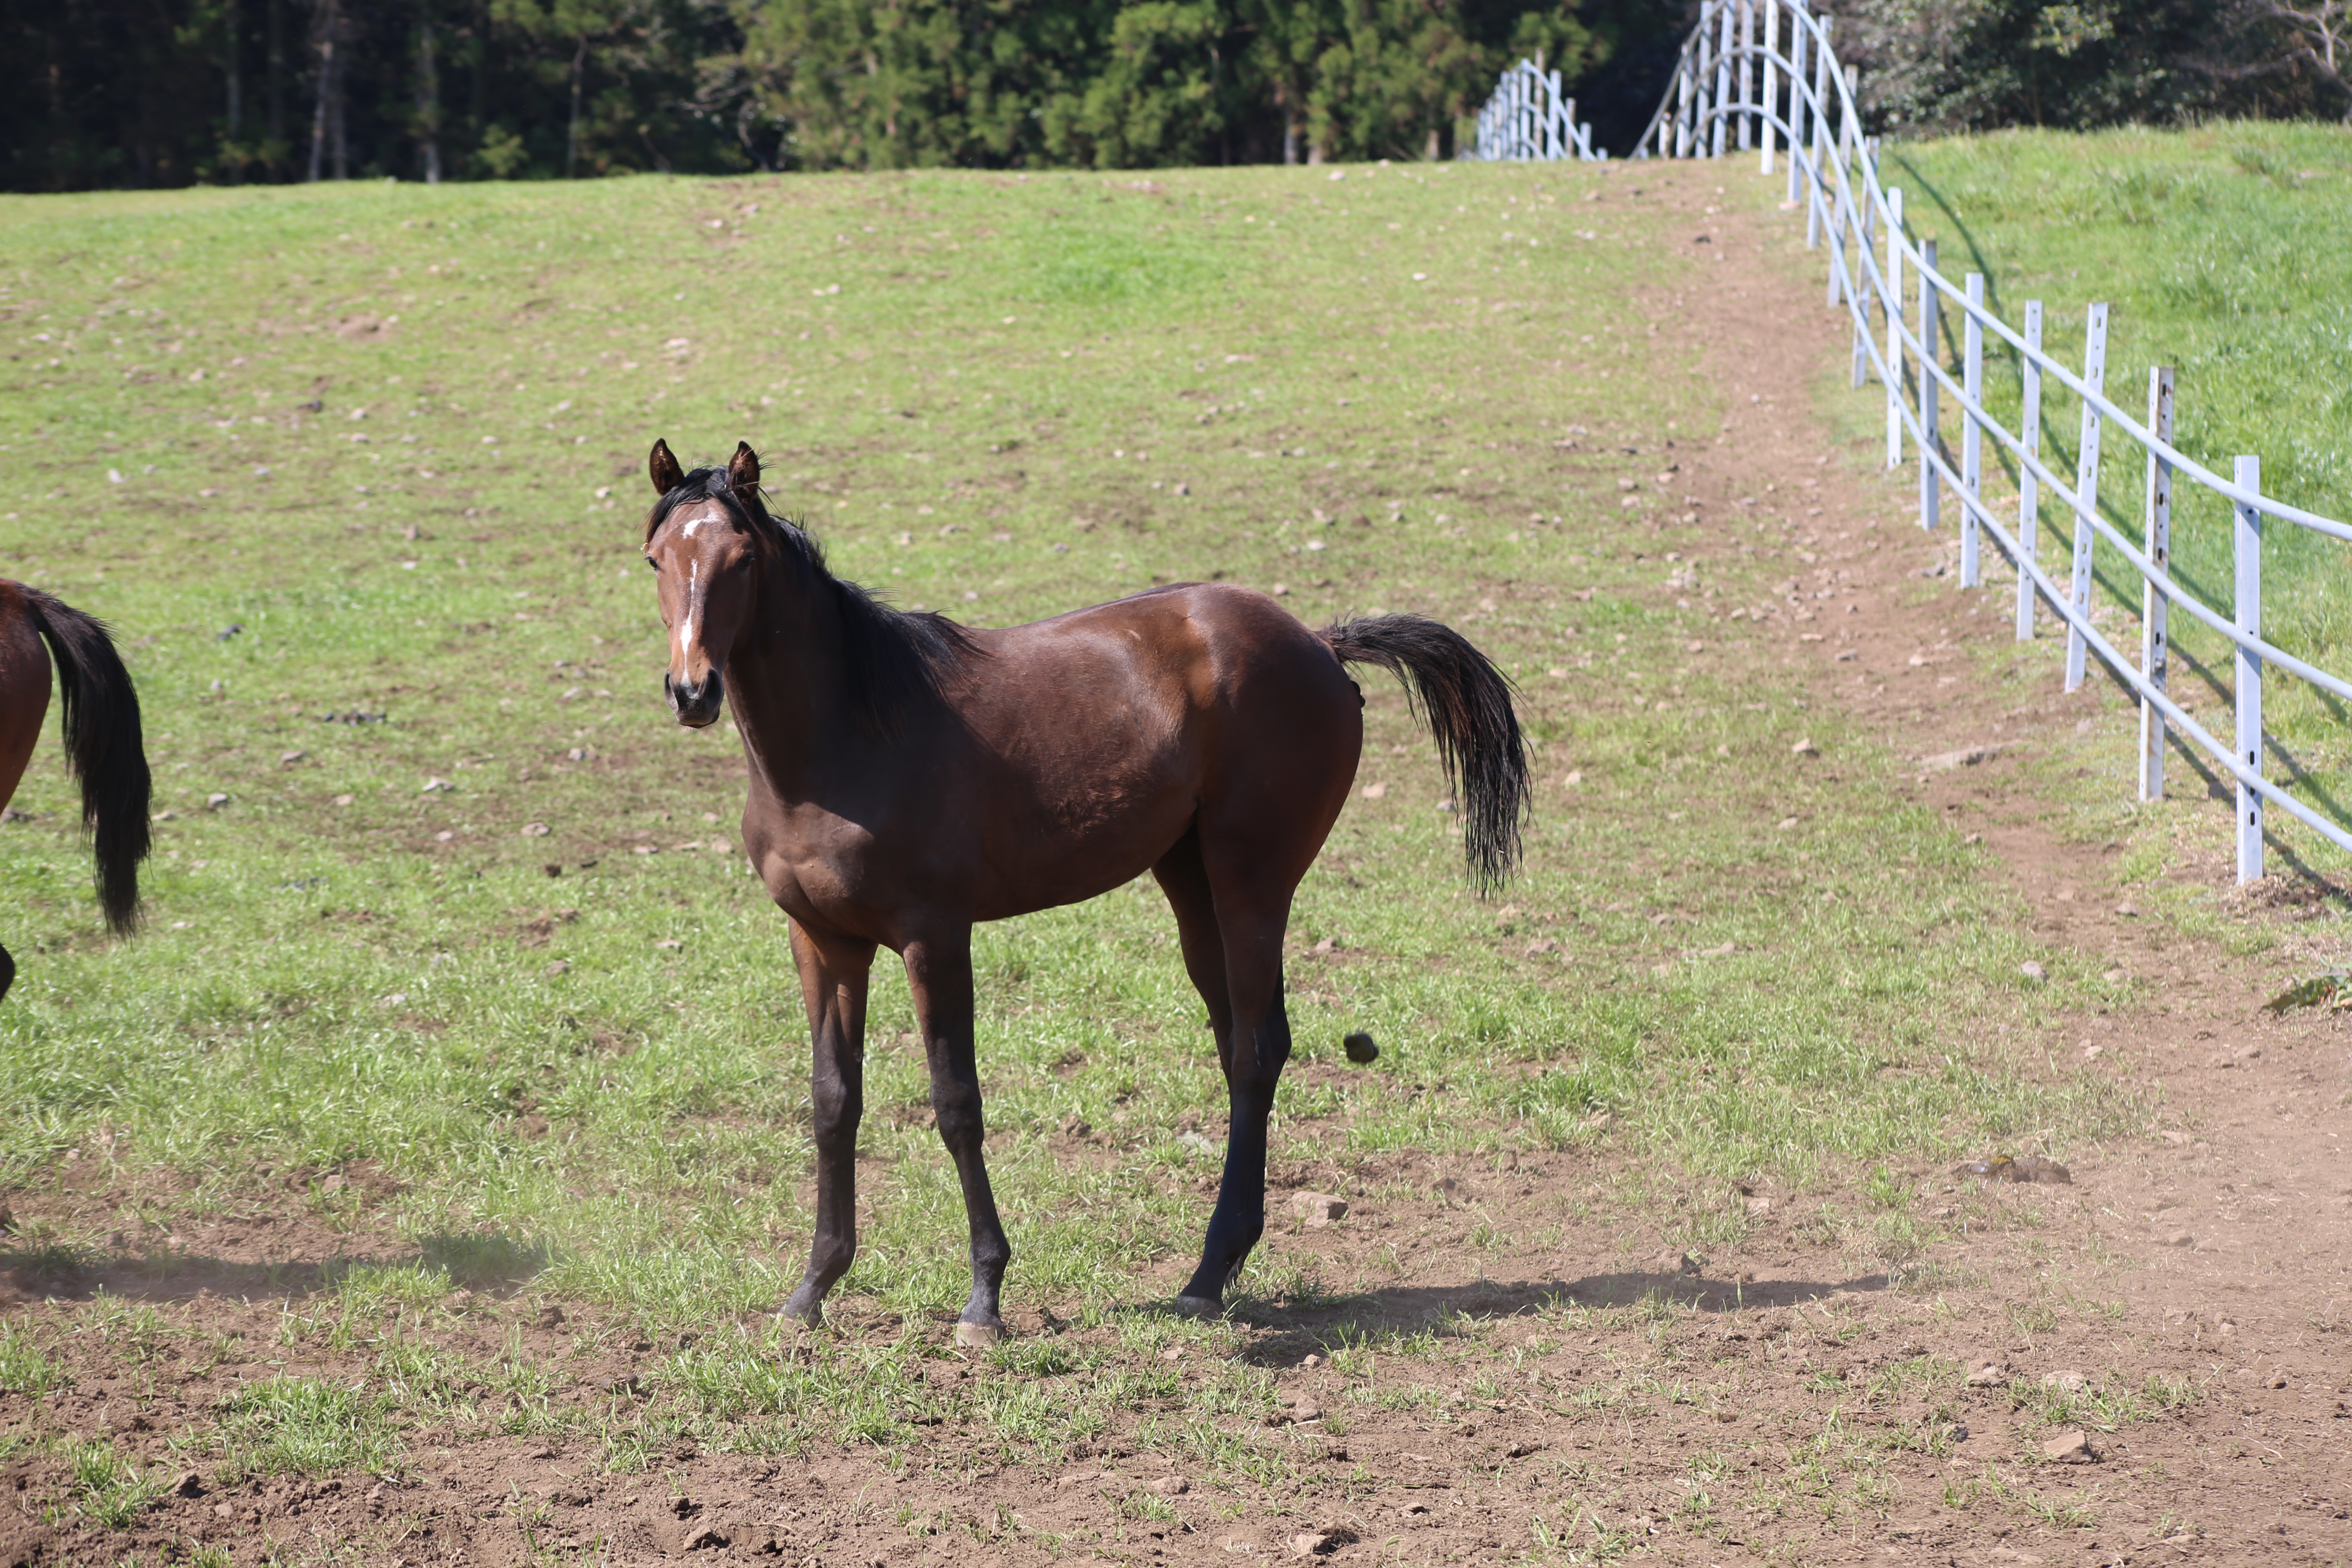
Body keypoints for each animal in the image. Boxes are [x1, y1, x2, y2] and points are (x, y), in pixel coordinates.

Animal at [644, 439, 1524, 1335]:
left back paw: (1206, 1270)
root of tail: (1317, 641)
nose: (693, 691)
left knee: (1256, 1049)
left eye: (743, 560)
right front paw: (812, 1290)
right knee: (1238, 1042)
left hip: (1252, 880)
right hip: (1190, 883)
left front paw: (984, 1300)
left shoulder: (935, 936)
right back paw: (1222, 1263)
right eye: (656, 559)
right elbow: (832, 1103)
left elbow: (956, 1103)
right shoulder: (824, 941)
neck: (846, 739)